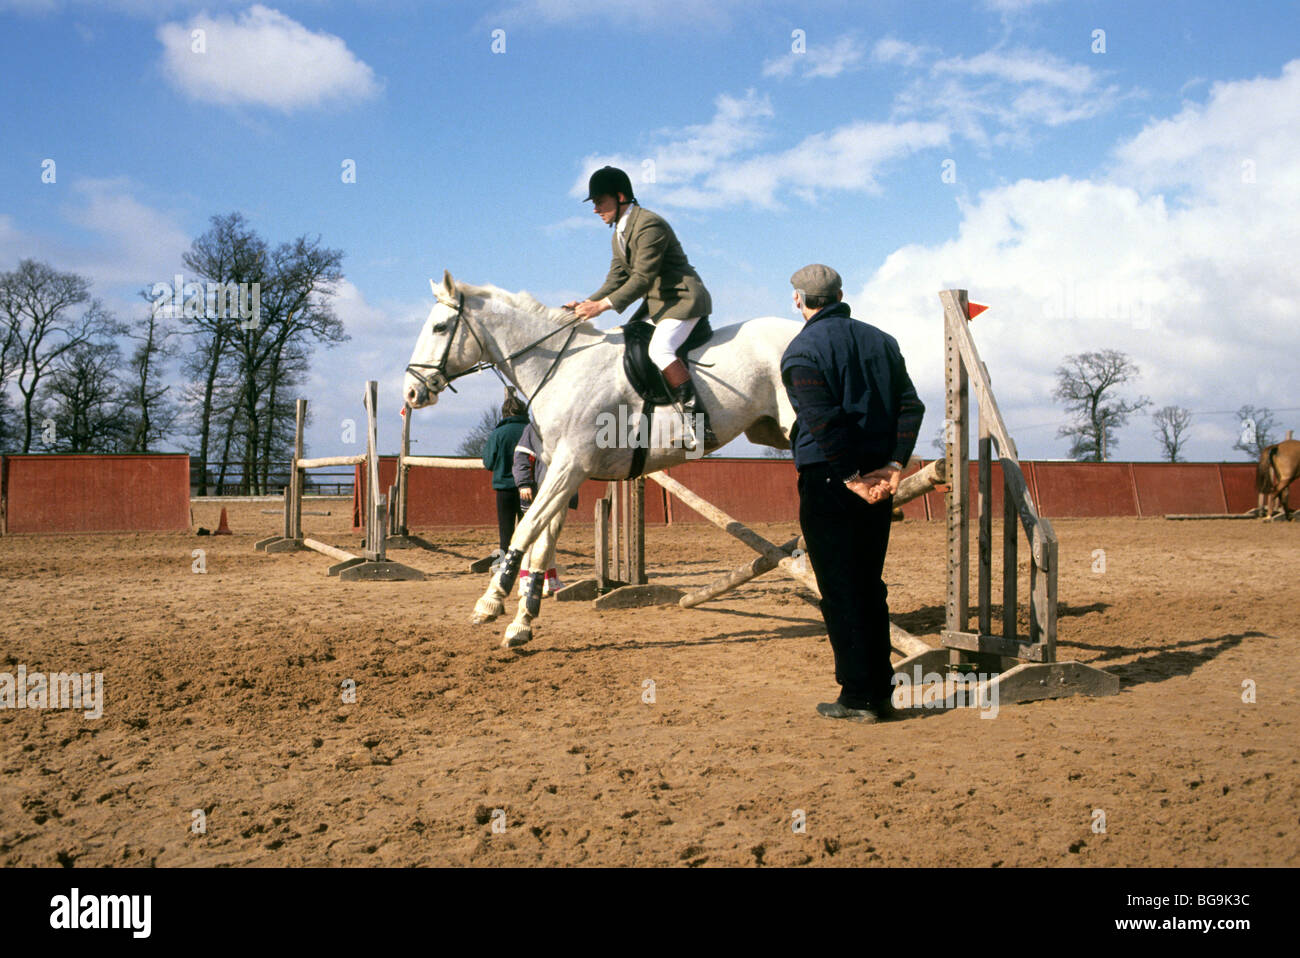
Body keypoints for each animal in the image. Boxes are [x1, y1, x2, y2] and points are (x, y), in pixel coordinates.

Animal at [404, 271, 801, 648]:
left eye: (440, 327)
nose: (411, 392)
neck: (560, 368)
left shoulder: (570, 467)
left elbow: (527, 528)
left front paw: (490, 603)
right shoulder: (561, 471)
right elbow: (543, 542)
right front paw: (522, 622)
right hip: (771, 430)